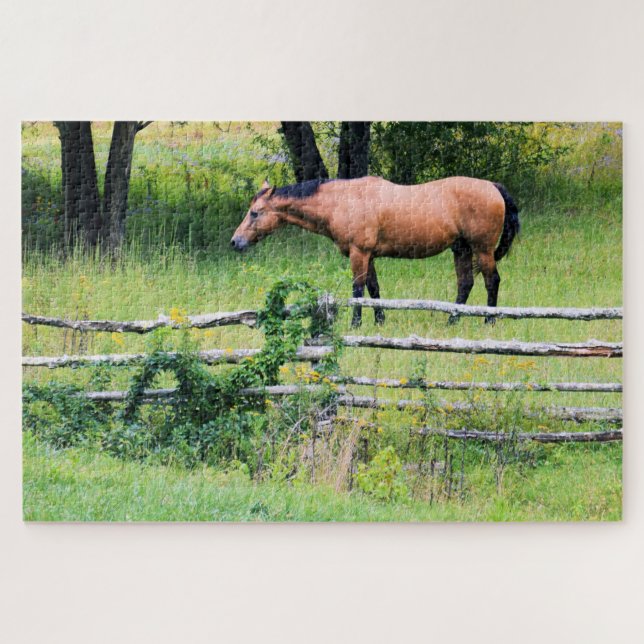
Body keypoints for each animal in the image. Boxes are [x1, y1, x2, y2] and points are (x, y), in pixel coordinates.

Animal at [231, 176, 520, 327]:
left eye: (255, 212)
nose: (236, 242)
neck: (342, 201)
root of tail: (493, 187)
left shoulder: (359, 253)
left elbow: (358, 290)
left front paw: (355, 324)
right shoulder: (367, 255)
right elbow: (374, 288)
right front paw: (380, 320)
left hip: (482, 249)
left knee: (492, 281)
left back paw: (489, 322)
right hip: (461, 249)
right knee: (465, 283)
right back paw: (451, 321)